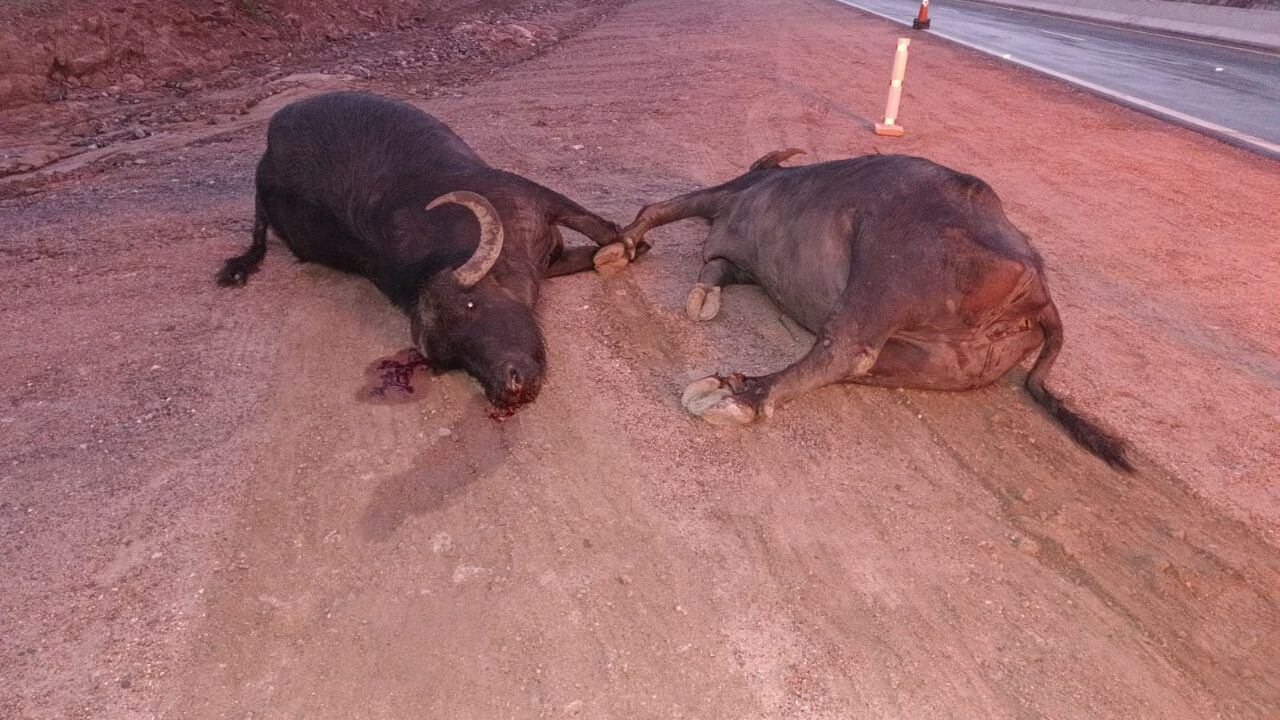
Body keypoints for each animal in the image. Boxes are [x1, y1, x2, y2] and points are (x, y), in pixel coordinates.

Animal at [218, 92, 629, 412]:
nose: (507, 386)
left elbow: (602, 231)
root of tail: (263, 166)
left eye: (471, 304)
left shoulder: (537, 201)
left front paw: (624, 245)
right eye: (455, 357)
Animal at [619, 148, 1131, 468]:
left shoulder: (734, 192)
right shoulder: (740, 260)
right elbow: (715, 268)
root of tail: (1039, 292)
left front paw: (621, 246)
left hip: (888, 268)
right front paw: (699, 296)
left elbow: (659, 208)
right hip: (938, 363)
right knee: (859, 363)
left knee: (846, 348)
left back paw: (733, 395)